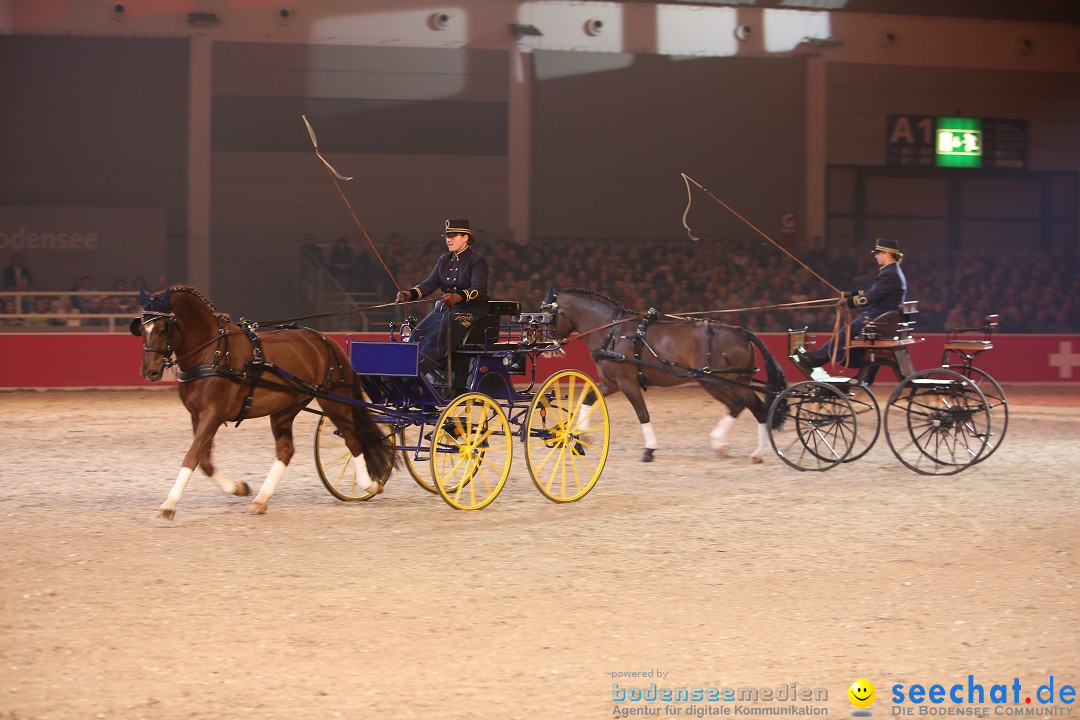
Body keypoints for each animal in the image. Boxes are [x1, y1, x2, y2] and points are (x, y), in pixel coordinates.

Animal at [132, 284, 397, 518]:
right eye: (142, 329)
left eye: (164, 328)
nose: (149, 372)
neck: (213, 352)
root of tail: (326, 340)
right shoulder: (197, 415)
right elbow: (204, 460)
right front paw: (238, 488)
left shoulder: (213, 414)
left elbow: (192, 456)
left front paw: (169, 505)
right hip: (285, 408)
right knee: (286, 450)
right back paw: (261, 499)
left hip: (334, 401)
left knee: (353, 440)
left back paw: (370, 485)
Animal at [548, 287, 786, 462]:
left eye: (546, 316)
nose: (551, 347)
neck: (612, 331)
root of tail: (741, 332)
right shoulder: (612, 383)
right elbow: (587, 398)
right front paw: (582, 434)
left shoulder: (627, 382)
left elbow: (642, 413)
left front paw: (649, 450)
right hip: (731, 381)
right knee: (749, 406)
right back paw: (741, 448)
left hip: (716, 380)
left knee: (746, 406)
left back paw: (739, 447)